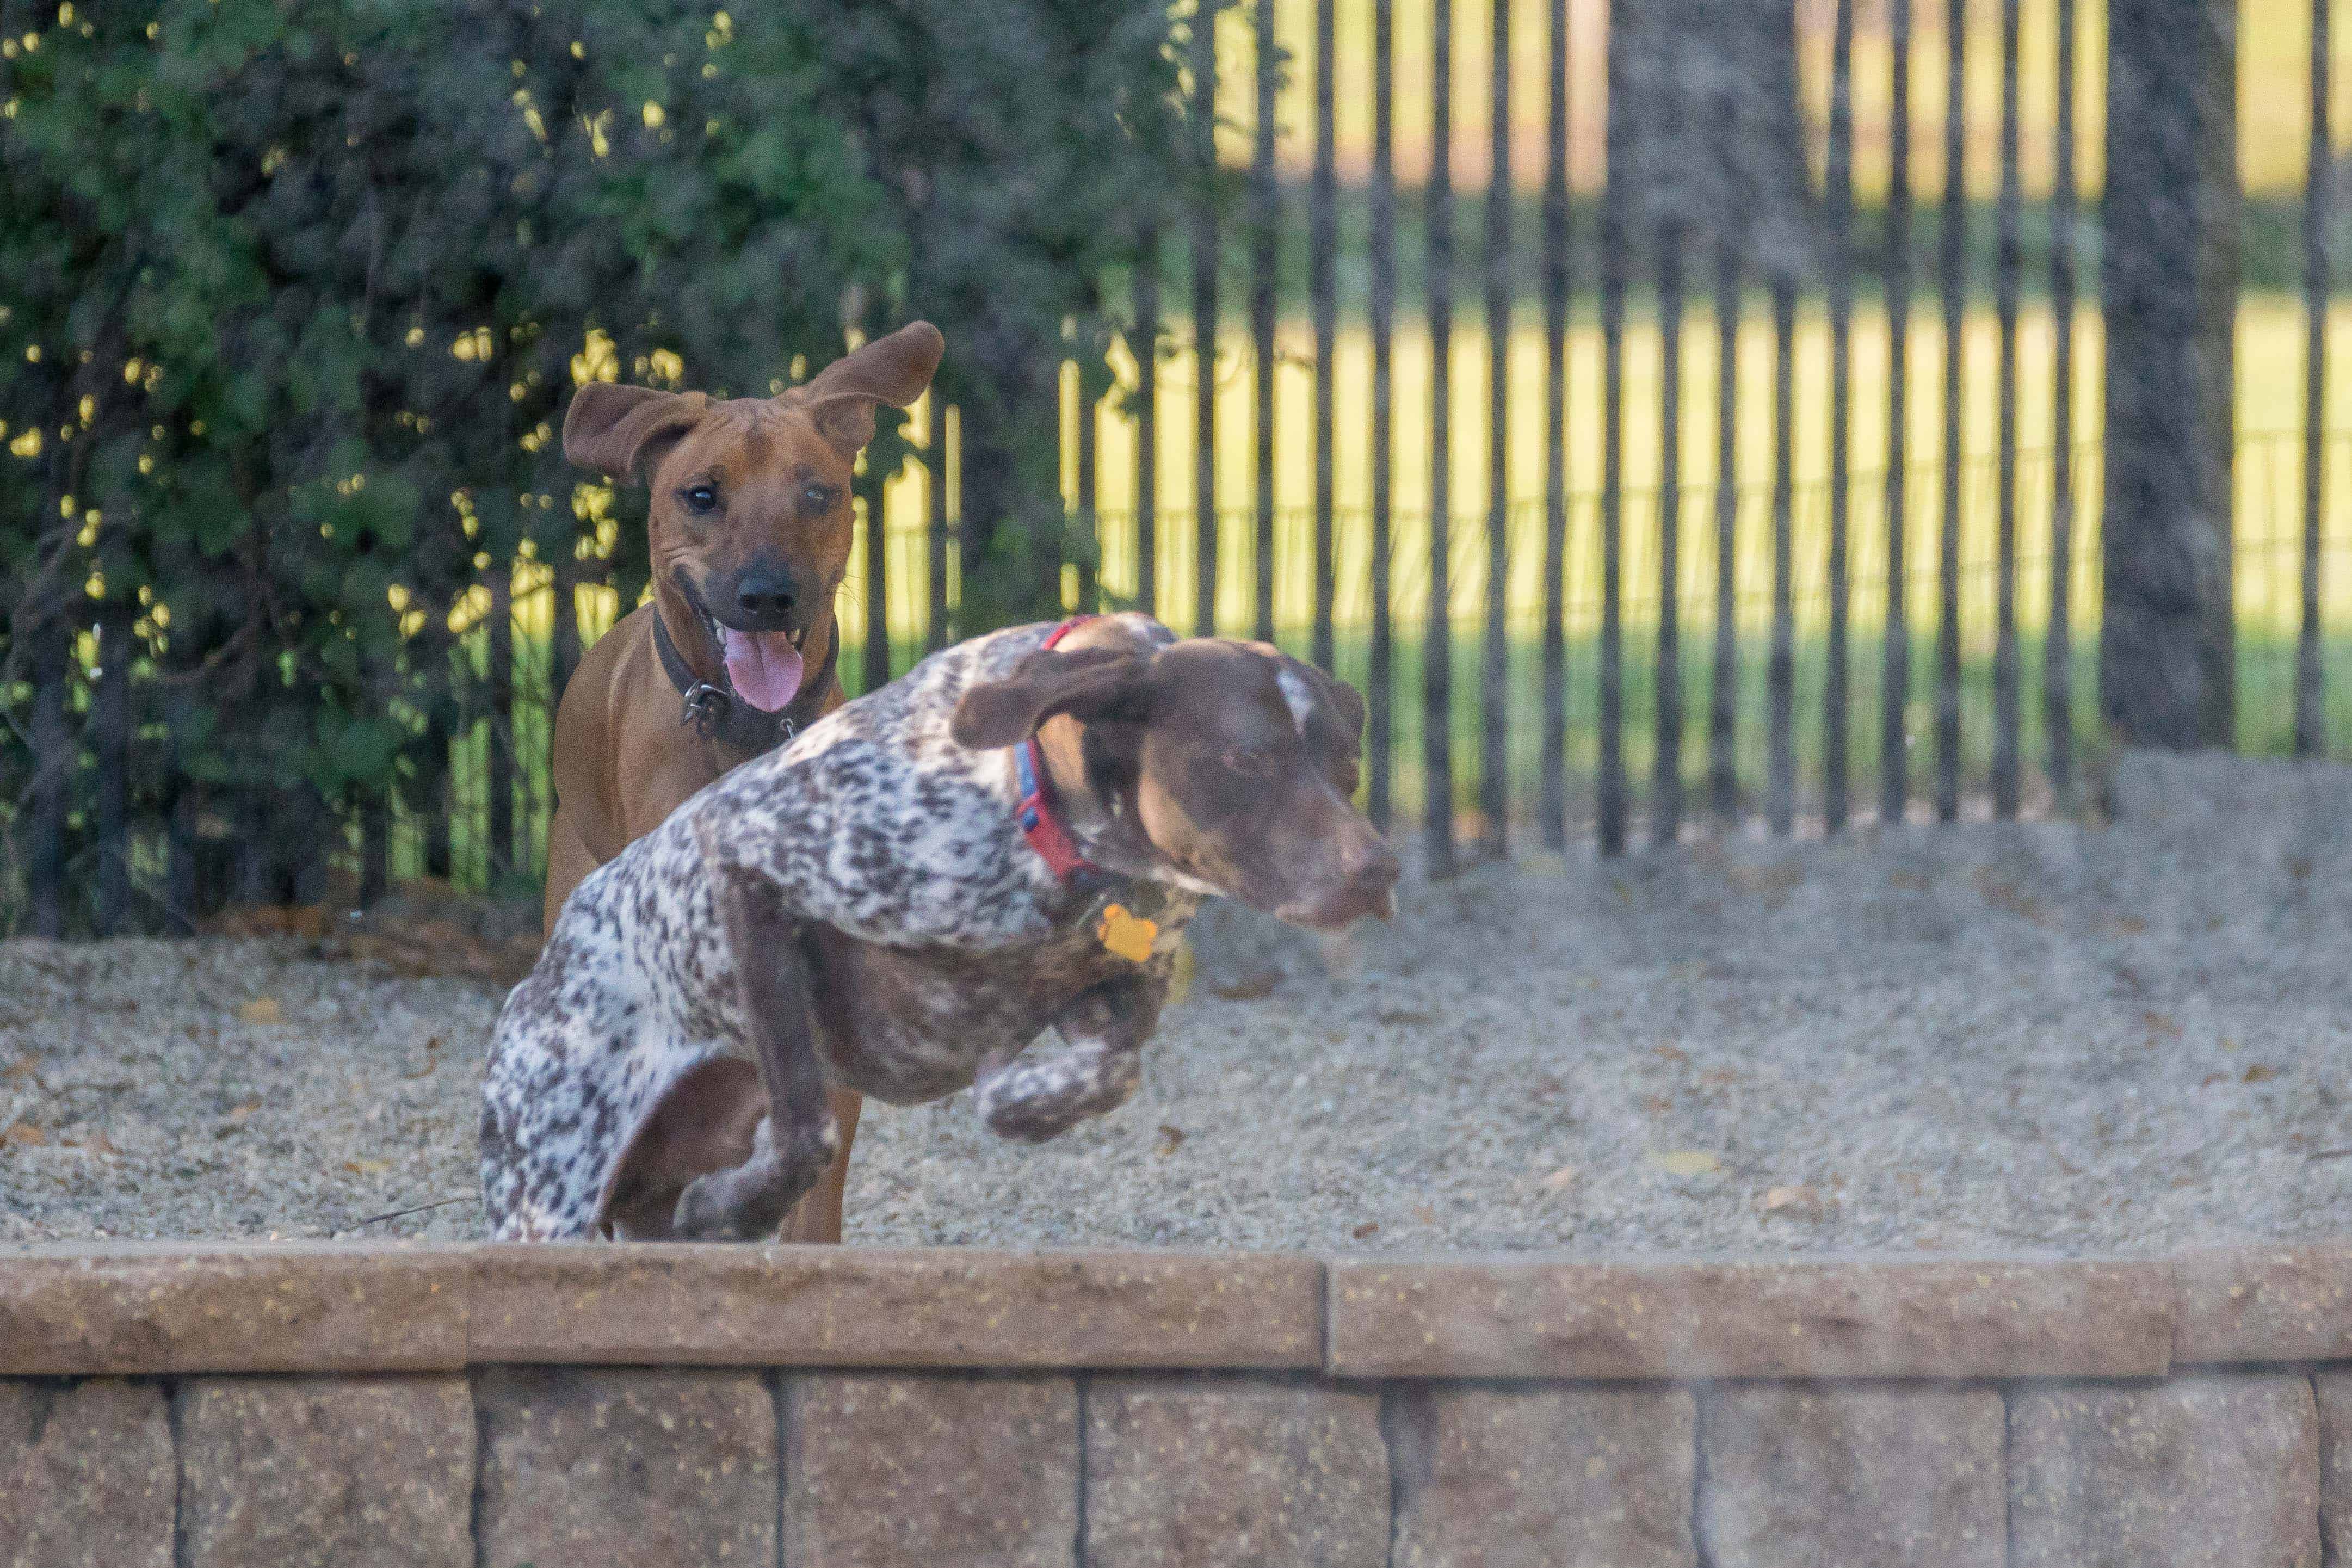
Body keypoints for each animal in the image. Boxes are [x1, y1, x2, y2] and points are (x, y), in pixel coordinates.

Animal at [479, 611, 1392, 1241]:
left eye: (1348, 769)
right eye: (1247, 759)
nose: (1376, 871)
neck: (1030, 803)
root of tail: (543, 969)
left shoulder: (1104, 987)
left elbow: (1107, 1071)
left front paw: (1019, 1102)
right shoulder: (745, 859)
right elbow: (805, 1126)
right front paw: (739, 1203)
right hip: (547, 1191)